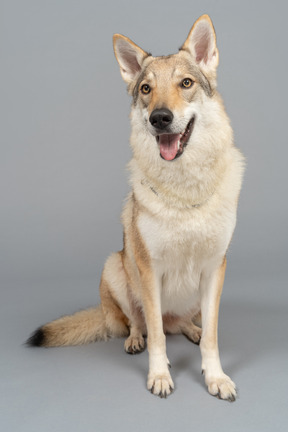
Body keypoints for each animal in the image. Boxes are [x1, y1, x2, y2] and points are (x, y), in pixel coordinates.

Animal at [26, 14, 243, 402]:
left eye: (186, 83)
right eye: (145, 89)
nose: (160, 118)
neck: (183, 192)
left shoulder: (215, 268)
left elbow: (213, 337)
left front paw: (215, 377)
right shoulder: (149, 271)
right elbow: (155, 333)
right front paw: (159, 375)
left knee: (182, 324)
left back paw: (190, 329)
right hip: (116, 266)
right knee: (137, 323)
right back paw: (134, 340)